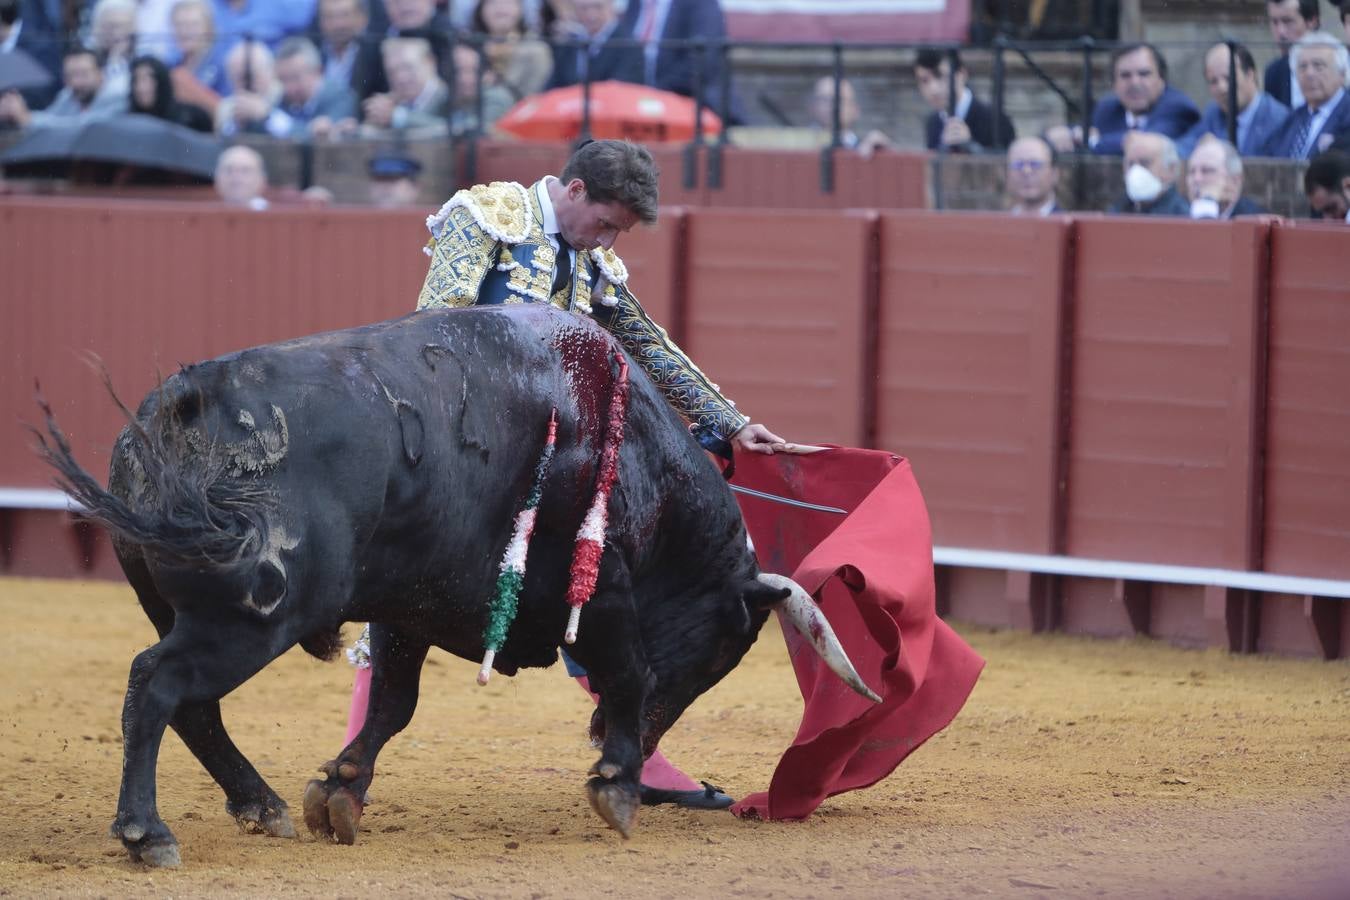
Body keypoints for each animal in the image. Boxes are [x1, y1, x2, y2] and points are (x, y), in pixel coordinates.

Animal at [36, 306, 880, 868]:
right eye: (722, 652)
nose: (640, 746)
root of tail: (186, 402)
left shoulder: (408, 606)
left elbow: (394, 704)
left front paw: (340, 791)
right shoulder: (600, 589)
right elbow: (631, 673)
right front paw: (616, 785)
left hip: (186, 610)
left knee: (191, 703)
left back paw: (262, 806)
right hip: (250, 619)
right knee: (158, 685)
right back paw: (149, 834)